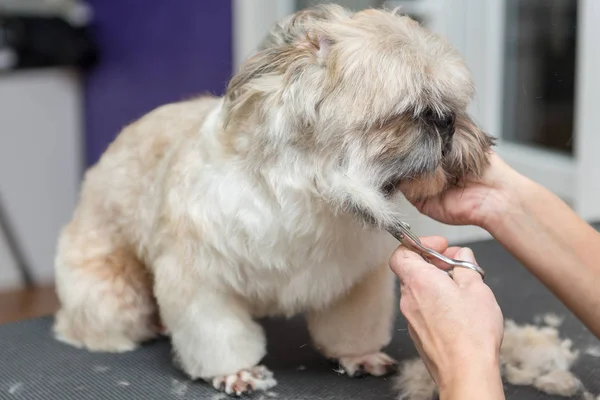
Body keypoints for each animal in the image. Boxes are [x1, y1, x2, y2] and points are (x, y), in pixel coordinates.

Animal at [52, 3, 492, 396]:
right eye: (415, 108)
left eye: (452, 106)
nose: (447, 122)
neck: (312, 190)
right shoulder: (200, 279)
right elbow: (217, 335)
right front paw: (237, 373)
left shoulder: (357, 280)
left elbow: (353, 327)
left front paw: (360, 356)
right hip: (111, 295)